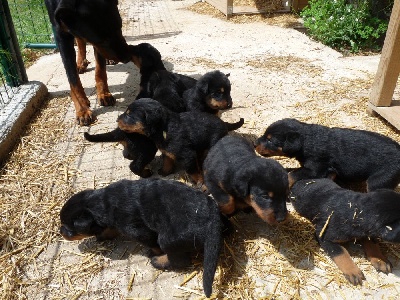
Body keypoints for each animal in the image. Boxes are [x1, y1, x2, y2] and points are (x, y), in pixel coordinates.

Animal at [61, 178, 227, 298]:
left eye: (69, 230)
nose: (60, 231)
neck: (103, 203)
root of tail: (212, 218)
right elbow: (110, 228)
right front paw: (103, 235)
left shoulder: (135, 229)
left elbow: (150, 241)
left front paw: (154, 252)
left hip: (168, 238)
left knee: (180, 260)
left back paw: (158, 261)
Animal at [117, 98, 245, 184]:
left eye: (129, 115)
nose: (117, 120)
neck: (164, 129)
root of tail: (224, 124)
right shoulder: (167, 151)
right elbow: (167, 162)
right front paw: (164, 172)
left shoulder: (187, 155)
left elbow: (193, 171)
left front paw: (200, 181)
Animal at [255, 118, 400, 191]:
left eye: (270, 140)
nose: (255, 143)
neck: (306, 141)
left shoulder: (315, 168)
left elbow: (292, 175)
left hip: (379, 180)